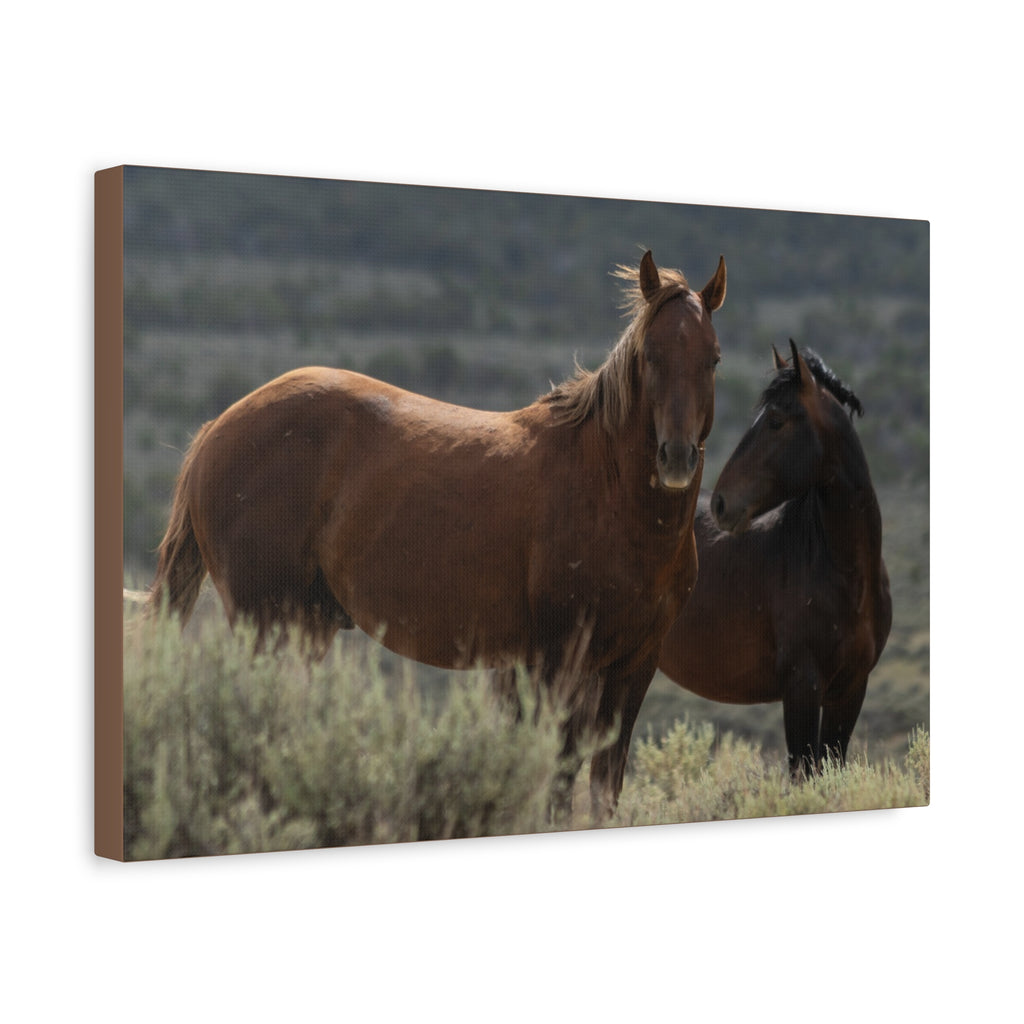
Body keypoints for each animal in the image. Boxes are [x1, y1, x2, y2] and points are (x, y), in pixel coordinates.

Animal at [147, 250, 727, 818]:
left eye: (713, 358)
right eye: (650, 356)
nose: (676, 457)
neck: (609, 492)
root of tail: (216, 430)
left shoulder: (633, 665)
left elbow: (604, 788)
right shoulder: (561, 659)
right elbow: (558, 782)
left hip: (305, 628)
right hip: (266, 625)